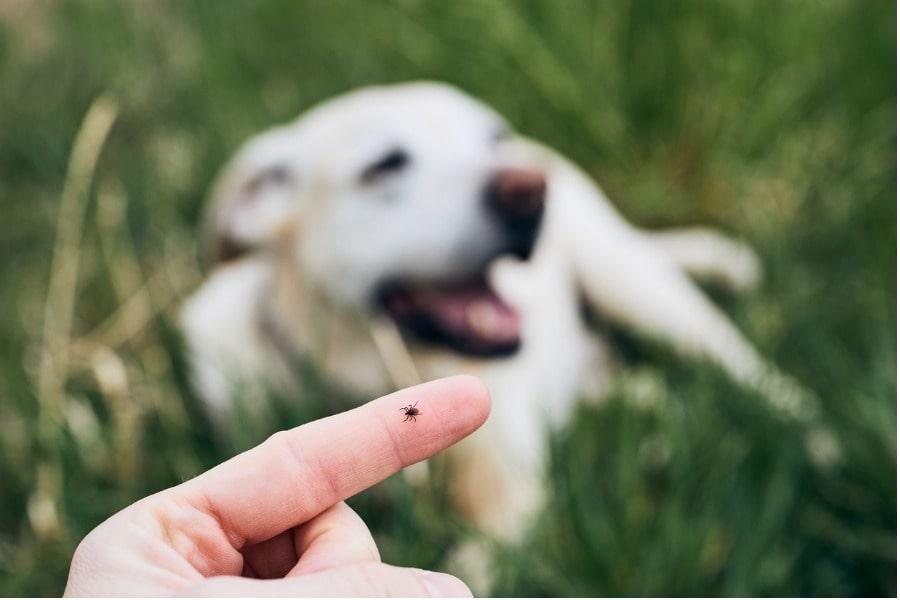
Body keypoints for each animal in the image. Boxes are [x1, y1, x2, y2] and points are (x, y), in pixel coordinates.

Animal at [181, 83, 816, 548]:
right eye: (384, 166)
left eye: (493, 138)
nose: (530, 190)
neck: (376, 373)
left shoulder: (510, 503)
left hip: (635, 286)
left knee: (750, 372)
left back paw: (817, 442)